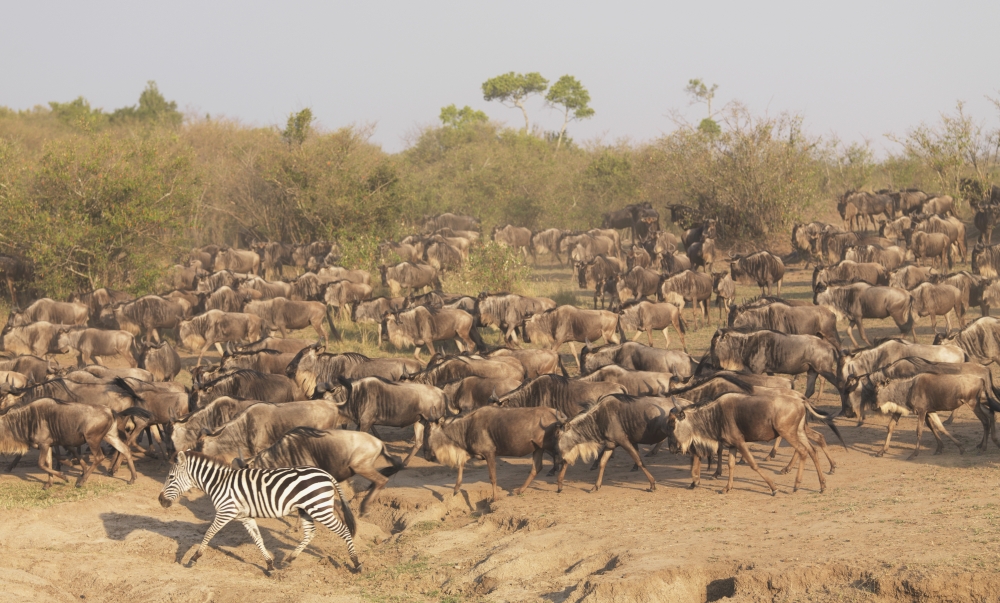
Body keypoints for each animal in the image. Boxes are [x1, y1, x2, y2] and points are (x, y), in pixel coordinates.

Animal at [158, 450, 361, 572]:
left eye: (171, 477)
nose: (161, 500)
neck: (219, 483)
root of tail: (325, 473)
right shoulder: (245, 517)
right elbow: (258, 539)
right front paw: (269, 565)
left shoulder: (225, 512)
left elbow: (208, 533)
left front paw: (193, 558)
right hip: (306, 509)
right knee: (310, 533)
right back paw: (289, 559)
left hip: (319, 508)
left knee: (344, 530)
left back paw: (356, 563)